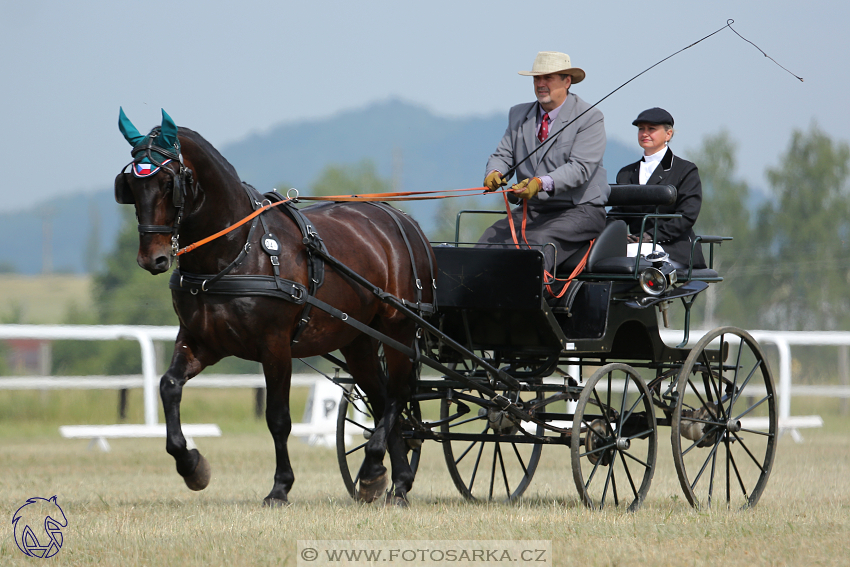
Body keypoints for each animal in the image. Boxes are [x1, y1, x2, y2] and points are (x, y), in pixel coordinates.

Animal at [113, 108, 434, 508]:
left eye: (170, 181)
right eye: (131, 184)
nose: (151, 259)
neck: (234, 251)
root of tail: (406, 221)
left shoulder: (275, 344)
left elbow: (278, 418)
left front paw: (281, 487)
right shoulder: (202, 340)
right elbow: (169, 385)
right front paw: (191, 465)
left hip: (398, 328)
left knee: (397, 394)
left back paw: (379, 469)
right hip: (358, 339)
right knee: (381, 396)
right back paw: (390, 480)